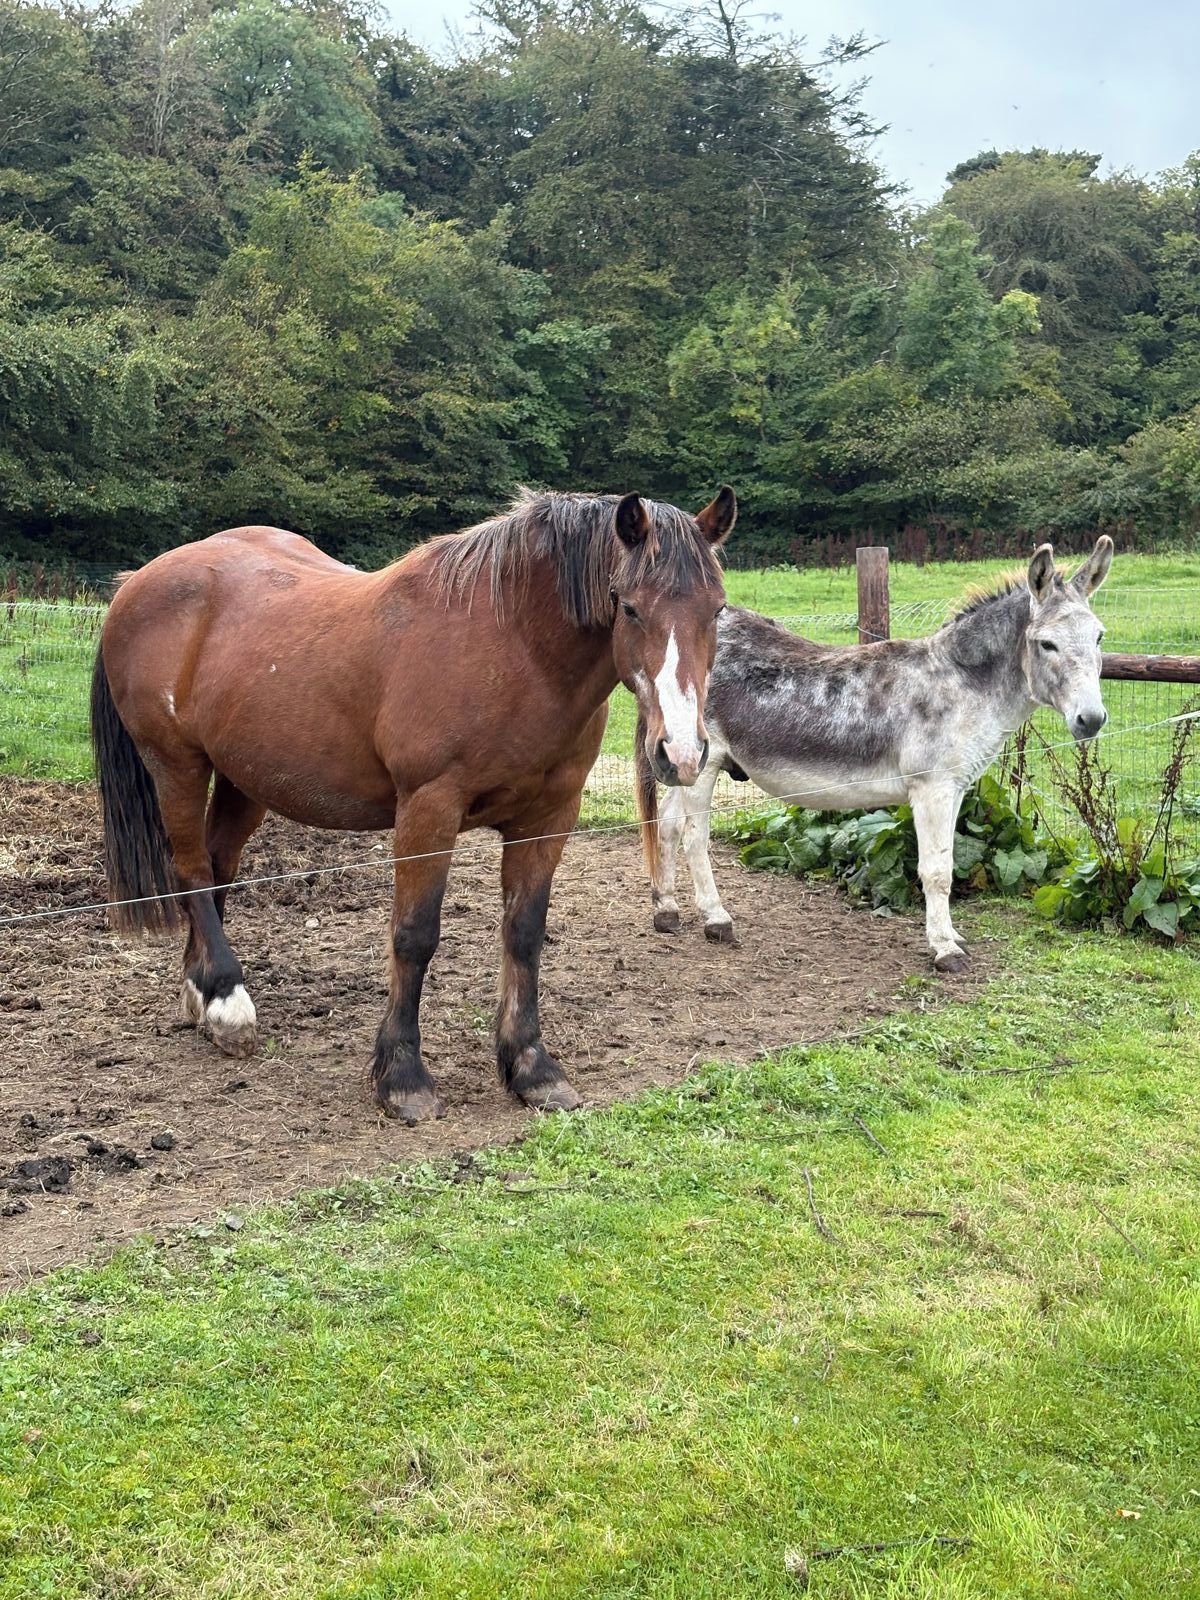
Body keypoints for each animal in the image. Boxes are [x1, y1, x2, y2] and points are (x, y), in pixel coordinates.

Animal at [91, 487, 736, 1123]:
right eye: (629, 607)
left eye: (717, 610)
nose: (681, 752)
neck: (514, 649)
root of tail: (136, 582)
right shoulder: (429, 809)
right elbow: (415, 935)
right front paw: (401, 1075)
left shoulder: (549, 817)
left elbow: (525, 933)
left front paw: (531, 1068)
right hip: (176, 766)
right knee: (193, 872)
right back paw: (228, 1001)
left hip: (243, 779)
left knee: (218, 865)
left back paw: (202, 993)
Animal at [636, 537, 1113, 973]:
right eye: (1047, 644)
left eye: (1099, 637)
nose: (1092, 720)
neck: (962, 684)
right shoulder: (932, 788)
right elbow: (935, 871)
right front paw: (945, 949)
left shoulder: (956, 788)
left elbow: (948, 862)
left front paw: (951, 934)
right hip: (703, 762)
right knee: (695, 837)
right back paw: (716, 919)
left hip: (689, 762)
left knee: (669, 825)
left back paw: (667, 911)